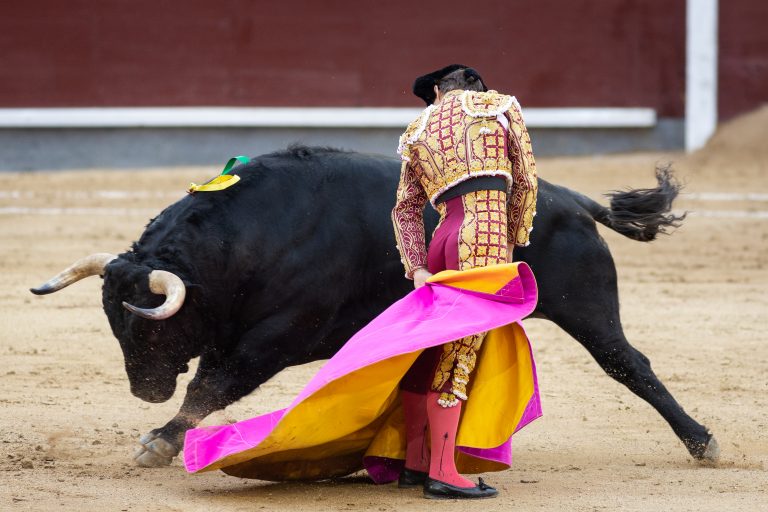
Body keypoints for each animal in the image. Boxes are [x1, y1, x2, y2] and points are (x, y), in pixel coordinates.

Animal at [31, 146, 719, 468]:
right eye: (111, 323)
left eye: (146, 329)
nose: (144, 391)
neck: (246, 240)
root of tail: (573, 201)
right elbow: (211, 382)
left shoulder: (275, 338)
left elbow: (212, 386)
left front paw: (158, 441)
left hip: (587, 308)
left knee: (630, 366)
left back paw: (702, 442)